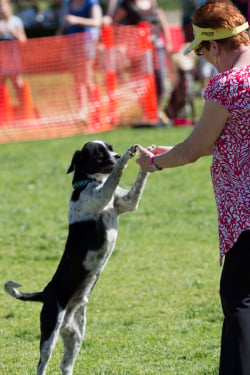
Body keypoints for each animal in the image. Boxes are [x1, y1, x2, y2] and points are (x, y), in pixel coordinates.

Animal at [3, 140, 147, 375]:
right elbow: (116, 173)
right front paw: (128, 155)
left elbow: (139, 180)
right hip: (50, 332)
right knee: (42, 363)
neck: (87, 183)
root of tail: (45, 293)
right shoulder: (102, 195)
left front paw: (147, 153)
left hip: (76, 335)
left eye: (111, 148)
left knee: (65, 364)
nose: (116, 155)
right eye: (100, 155)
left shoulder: (127, 201)